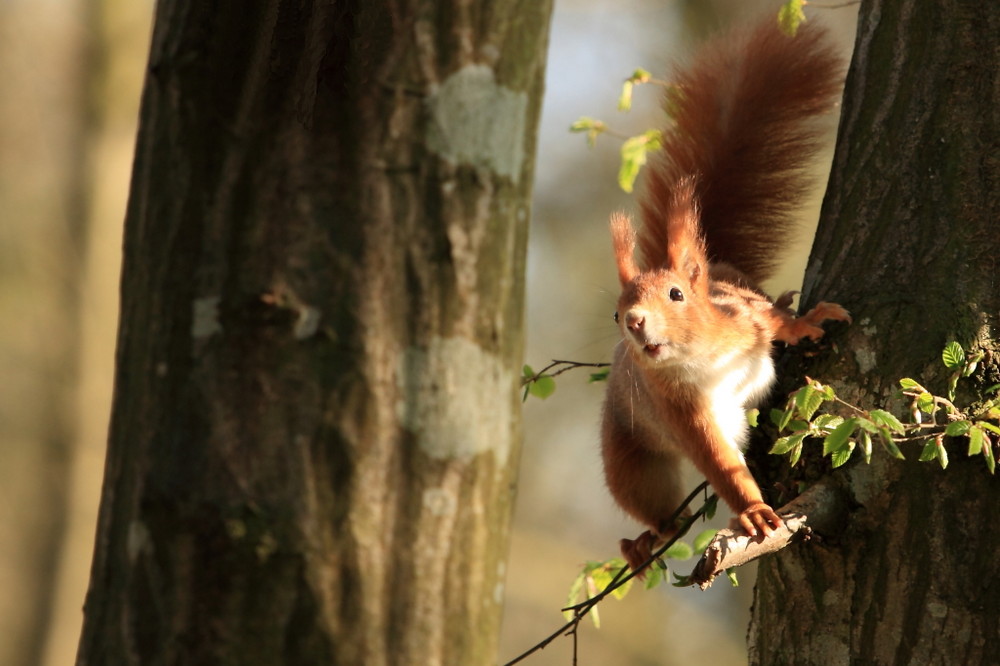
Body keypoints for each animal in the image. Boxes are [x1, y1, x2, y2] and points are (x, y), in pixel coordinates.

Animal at [600, 18, 852, 572]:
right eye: (615, 315)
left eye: (676, 294)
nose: (635, 321)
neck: (700, 356)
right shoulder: (681, 411)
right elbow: (720, 464)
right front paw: (753, 512)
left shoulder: (744, 316)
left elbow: (776, 323)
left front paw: (805, 324)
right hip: (632, 457)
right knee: (657, 508)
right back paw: (646, 540)